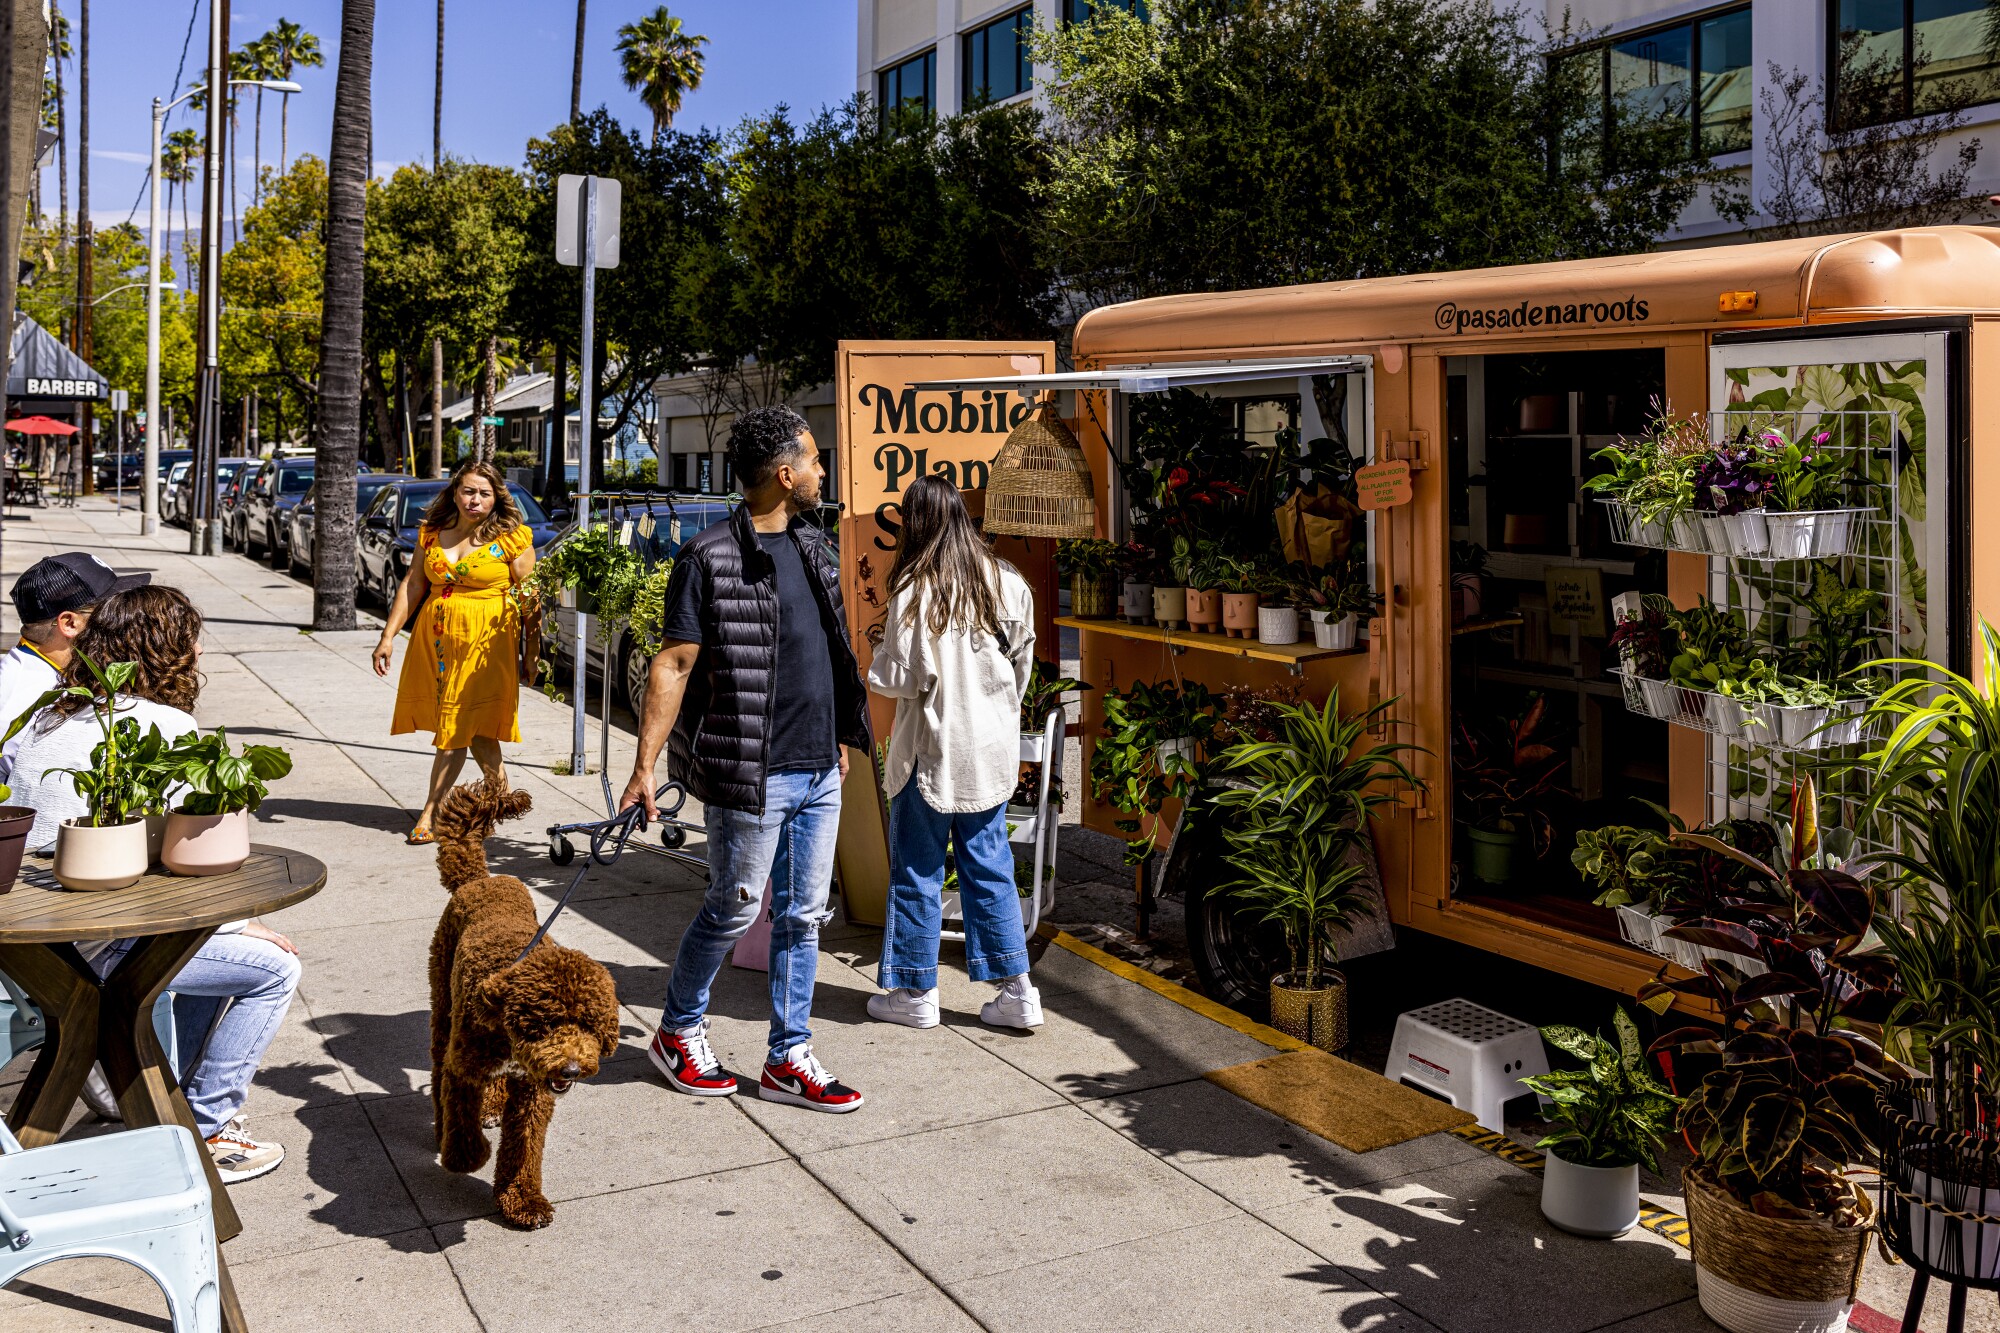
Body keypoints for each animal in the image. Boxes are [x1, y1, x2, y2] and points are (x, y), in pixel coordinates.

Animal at [432, 780, 620, 1224]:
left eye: (589, 1026)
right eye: (544, 1024)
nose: (571, 1069)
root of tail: (479, 879)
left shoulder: (534, 1091)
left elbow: (524, 1145)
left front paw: (521, 1199)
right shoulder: (463, 1068)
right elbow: (461, 1116)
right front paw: (466, 1156)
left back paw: (492, 1105)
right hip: (442, 1002)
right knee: (437, 1062)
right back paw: (442, 1125)